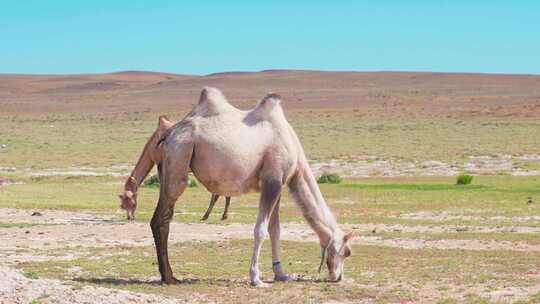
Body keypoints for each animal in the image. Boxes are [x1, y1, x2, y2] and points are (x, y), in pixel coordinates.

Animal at [152, 86, 354, 286]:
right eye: (347, 252)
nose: (337, 277)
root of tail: (169, 134)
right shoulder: (272, 181)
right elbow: (260, 230)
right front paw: (256, 278)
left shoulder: (277, 184)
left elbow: (275, 230)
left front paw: (281, 274)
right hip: (180, 154)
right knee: (162, 217)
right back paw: (169, 277)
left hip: (167, 164)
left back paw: (168, 275)